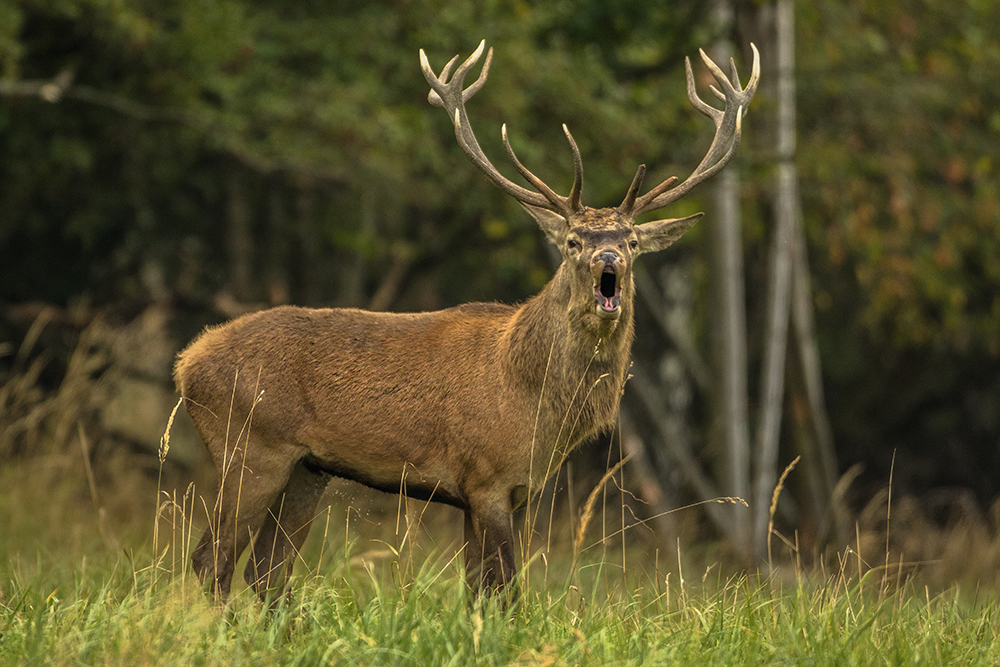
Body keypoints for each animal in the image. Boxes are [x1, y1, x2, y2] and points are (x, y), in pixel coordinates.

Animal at [174, 41, 756, 604]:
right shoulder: (486, 476)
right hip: (250, 448)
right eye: (573, 241)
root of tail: (186, 363)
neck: (534, 403)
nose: (607, 258)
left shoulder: (508, 491)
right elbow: (508, 591)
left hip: (306, 469)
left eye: (632, 241)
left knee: (268, 571)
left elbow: (479, 591)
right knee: (211, 560)